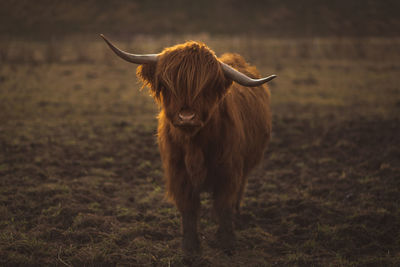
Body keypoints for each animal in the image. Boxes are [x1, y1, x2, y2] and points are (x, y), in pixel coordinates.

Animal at [101, 34, 276, 254]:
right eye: (168, 85)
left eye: (206, 87)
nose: (186, 117)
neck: (194, 145)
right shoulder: (179, 173)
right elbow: (189, 209)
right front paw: (190, 247)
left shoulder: (229, 170)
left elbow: (224, 205)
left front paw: (227, 242)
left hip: (245, 167)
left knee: (237, 194)